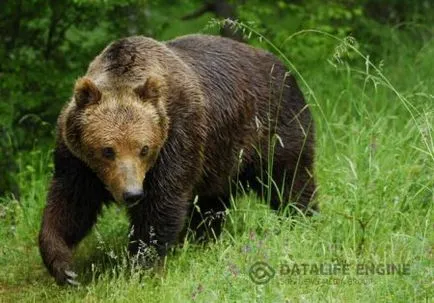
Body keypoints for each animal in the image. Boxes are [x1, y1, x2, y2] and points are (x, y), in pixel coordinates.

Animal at [38, 34, 316, 286]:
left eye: (144, 149)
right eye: (108, 150)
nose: (132, 194)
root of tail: (284, 66)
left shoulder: (178, 136)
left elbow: (162, 202)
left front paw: (141, 265)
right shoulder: (77, 160)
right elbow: (71, 204)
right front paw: (65, 268)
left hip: (272, 126)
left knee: (288, 178)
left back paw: (301, 217)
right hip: (220, 157)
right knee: (211, 202)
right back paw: (204, 238)